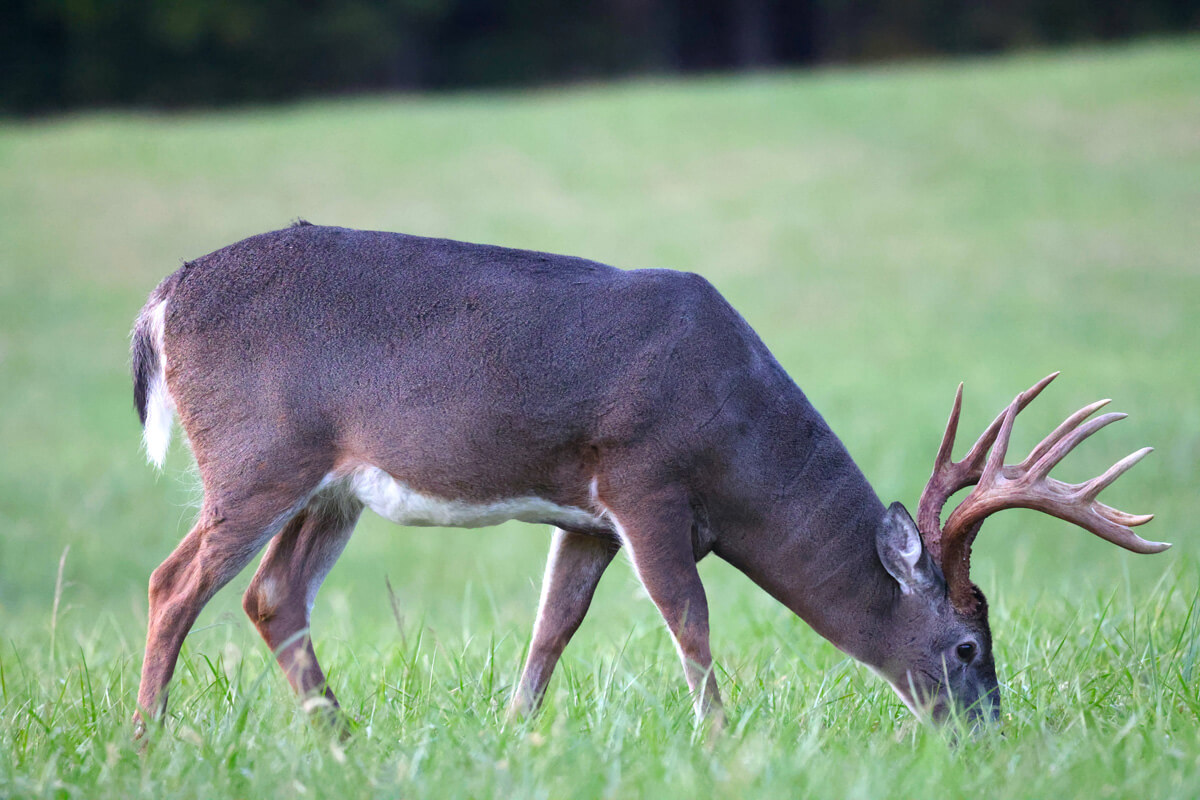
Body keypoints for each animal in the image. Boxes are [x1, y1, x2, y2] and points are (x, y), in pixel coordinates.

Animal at [131, 221, 1171, 734]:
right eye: (966, 646)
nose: (986, 735)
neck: (736, 433)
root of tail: (163, 298)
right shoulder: (644, 477)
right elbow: (690, 619)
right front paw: (721, 742)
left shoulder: (587, 517)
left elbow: (554, 625)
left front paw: (516, 738)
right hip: (257, 453)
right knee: (174, 582)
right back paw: (148, 738)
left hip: (331, 485)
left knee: (273, 595)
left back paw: (339, 737)